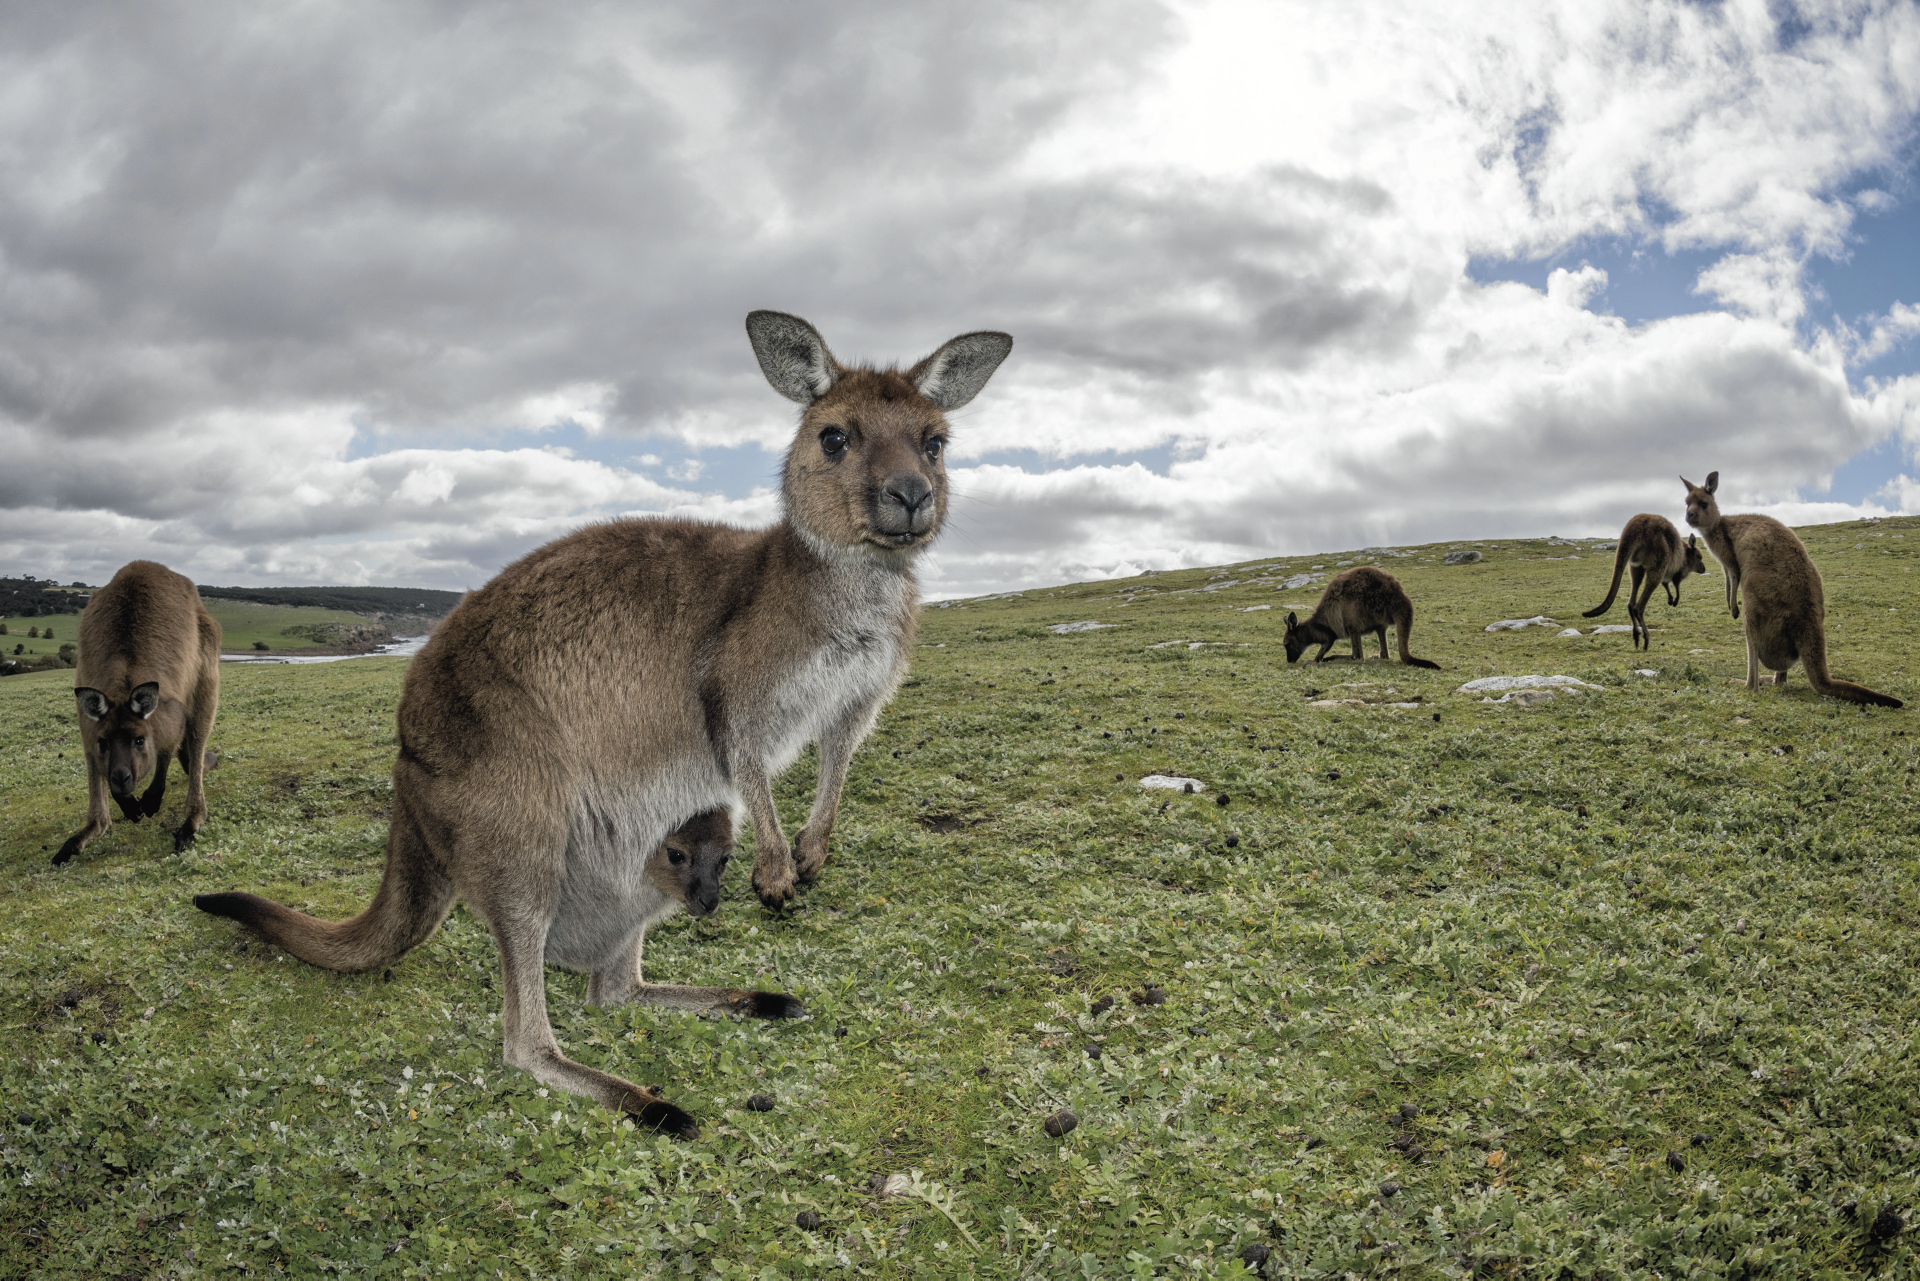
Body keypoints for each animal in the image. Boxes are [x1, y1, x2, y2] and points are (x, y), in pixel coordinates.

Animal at [56, 561, 221, 866]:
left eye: (139, 741)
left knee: (194, 742)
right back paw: (81, 838)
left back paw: (188, 822)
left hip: (205, 672)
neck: (124, 683)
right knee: (96, 786)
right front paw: (129, 805)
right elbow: (99, 763)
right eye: (104, 743)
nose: (121, 779)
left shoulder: (169, 712)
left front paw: (149, 801)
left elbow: (167, 749)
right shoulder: (91, 731)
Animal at [194, 311, 1013, 1136]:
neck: (844, 579)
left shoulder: (859, 694)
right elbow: (745, 757)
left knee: (614, 989)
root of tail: (403, 763)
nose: (911, 494)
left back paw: (757, 998)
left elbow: (838, 758)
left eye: (934, 442)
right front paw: (779, 871)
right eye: (835, 437)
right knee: (525, 1040)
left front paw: (812, 852)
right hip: (518, 816)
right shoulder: (734, 683)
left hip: (643, 854)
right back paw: (651, 1103)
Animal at [1282, 566, 1440, 669]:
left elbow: (1325, 648)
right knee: (1383, 652)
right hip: (1378, 622)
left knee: (1357, 656)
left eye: (1287, 644)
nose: (1289, 661)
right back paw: (1376, 656)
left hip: (1355, 615)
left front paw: (1314, 661)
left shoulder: (1329, 635)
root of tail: (1398, 596)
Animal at [1581, 513, 1708, 650]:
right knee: (1639, 606)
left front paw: (1670, 599)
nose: (1703, 569)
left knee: (1631, 602)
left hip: (1635, 565)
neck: (1686, 557)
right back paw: (1646, 639)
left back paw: (1636, 636)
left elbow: (1666, 584)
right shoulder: (1678, 571)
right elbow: (1676, 585)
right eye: (1699, 557)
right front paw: (1674, 601)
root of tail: (1636, 525)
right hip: (1658, 558)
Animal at [1682, 471, 1901, 708]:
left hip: (1756, 601)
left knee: (1753, 665)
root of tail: (1808, 623)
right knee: (1781, 681)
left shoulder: (1729, 556)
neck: (1718, 526)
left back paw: (1742, 683)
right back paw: (1770, 679)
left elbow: (1732, 578)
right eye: (1686, 503)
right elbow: (1727, 581)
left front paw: (1732, 609)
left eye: (1703, 504)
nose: (1688, 516)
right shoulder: (1724, 562)